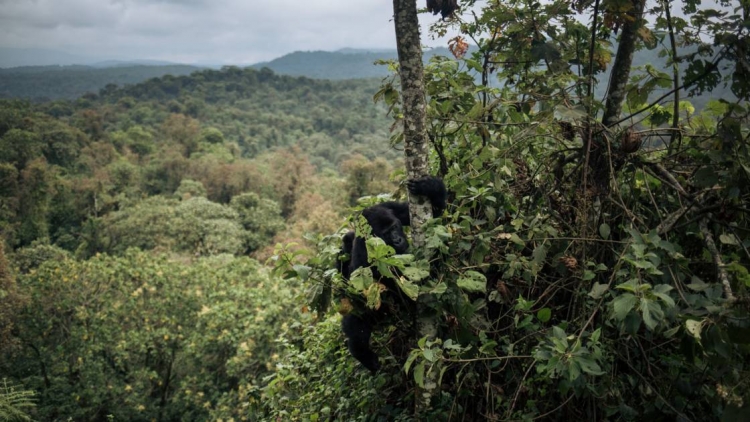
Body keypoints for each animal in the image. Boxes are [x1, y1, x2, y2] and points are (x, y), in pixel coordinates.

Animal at [340, 176, 446, 370]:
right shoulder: (365, 256)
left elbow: (437, 217)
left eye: (395, 227)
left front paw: (430, 187)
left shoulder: (390, 208)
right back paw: (363, 353)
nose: (398, 240)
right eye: (387, 234)